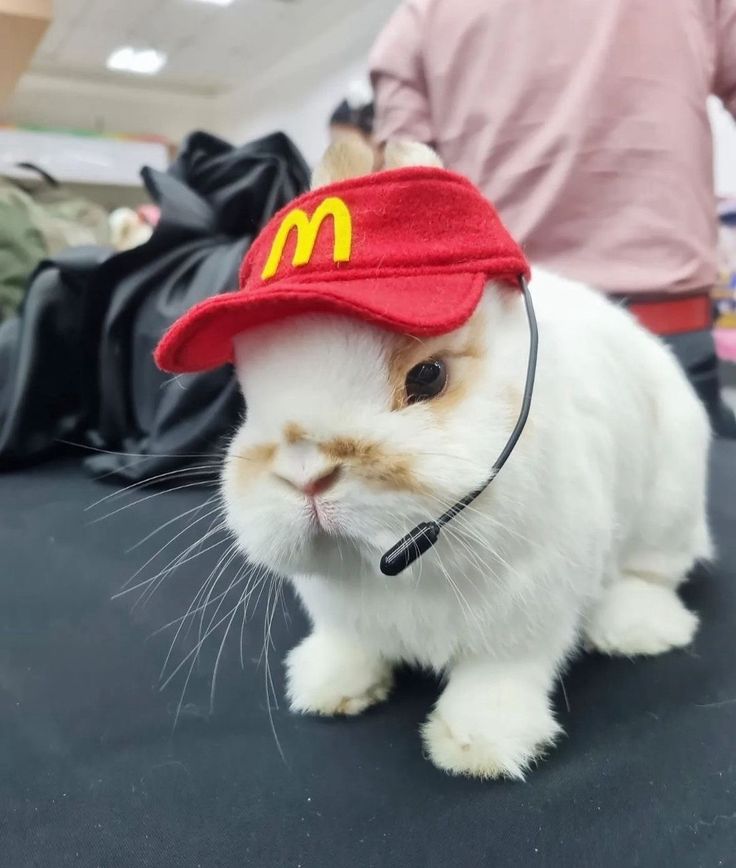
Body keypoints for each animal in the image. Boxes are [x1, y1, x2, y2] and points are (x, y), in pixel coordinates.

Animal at [220, 137, 712, 780]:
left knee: (651, 571)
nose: (307, 476)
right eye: (247, 396)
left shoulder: (526, 613)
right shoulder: (341, 612)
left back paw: (643, 630)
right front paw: (328, 687)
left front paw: (480, 747)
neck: (402, 569)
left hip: (668, 502)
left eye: (427, 377)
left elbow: (498, 676)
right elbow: (350, 644)